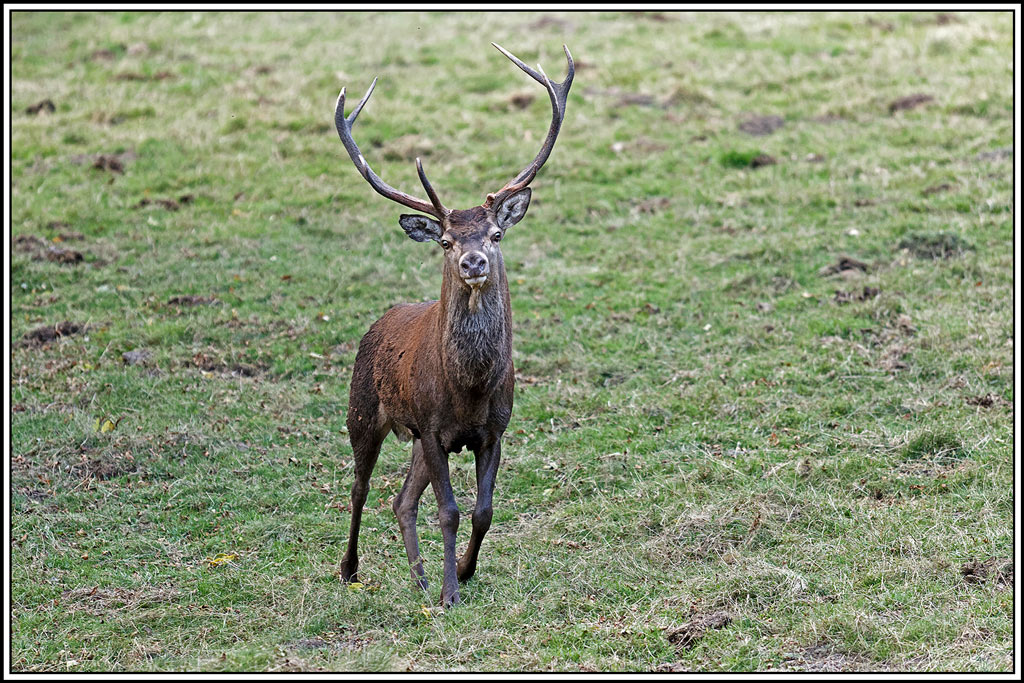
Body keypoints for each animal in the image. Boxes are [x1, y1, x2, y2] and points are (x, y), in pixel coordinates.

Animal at [333, 43, 574, 607]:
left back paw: (418, 577)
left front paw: (461, 573)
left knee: (401, 500)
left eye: (495, 234)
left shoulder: (493, 430)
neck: (469, 388)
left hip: (416, 438)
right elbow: (450, 511)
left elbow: (482, 511)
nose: (472, 261)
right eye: (445, 240)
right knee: (359, 488)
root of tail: (379, 321)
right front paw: (449, 594)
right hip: (364, 410)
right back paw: (351, 570)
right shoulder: (434, 426)